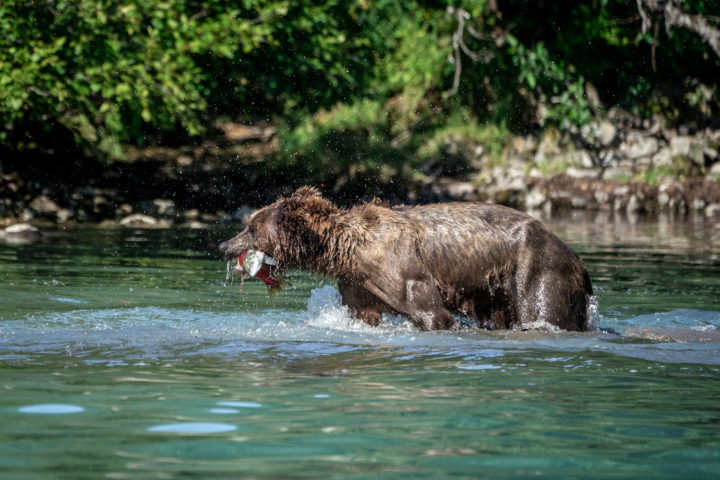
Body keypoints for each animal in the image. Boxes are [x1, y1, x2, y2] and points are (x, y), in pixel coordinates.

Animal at [220, 186, 593, 331]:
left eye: (252, 228)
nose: (224, 245)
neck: (349, 252)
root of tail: (579, 261)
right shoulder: (358, 285)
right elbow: (363, 315)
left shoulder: (402, 270)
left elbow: (433, 314)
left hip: (538, 270)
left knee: (545, 312)